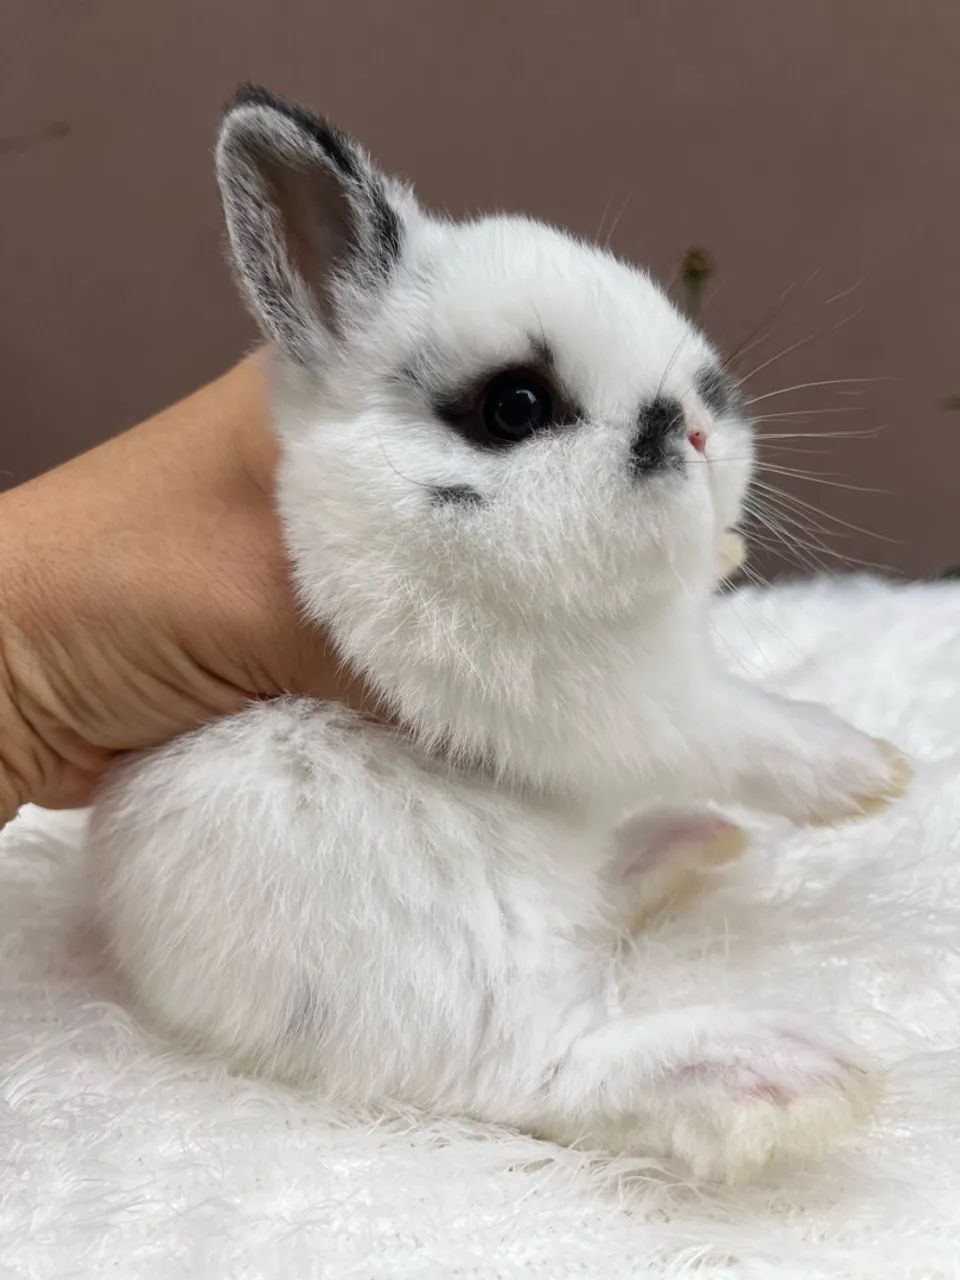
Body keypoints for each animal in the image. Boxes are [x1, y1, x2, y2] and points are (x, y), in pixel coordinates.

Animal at [90, 85, 910, 1185]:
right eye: (515, 404)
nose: (699, 424)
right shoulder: (607, 705)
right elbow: (742, 728)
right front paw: (868, 770)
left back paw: (682, 846)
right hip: (449, 958)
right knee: (540, 1070)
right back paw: (781, 1073)